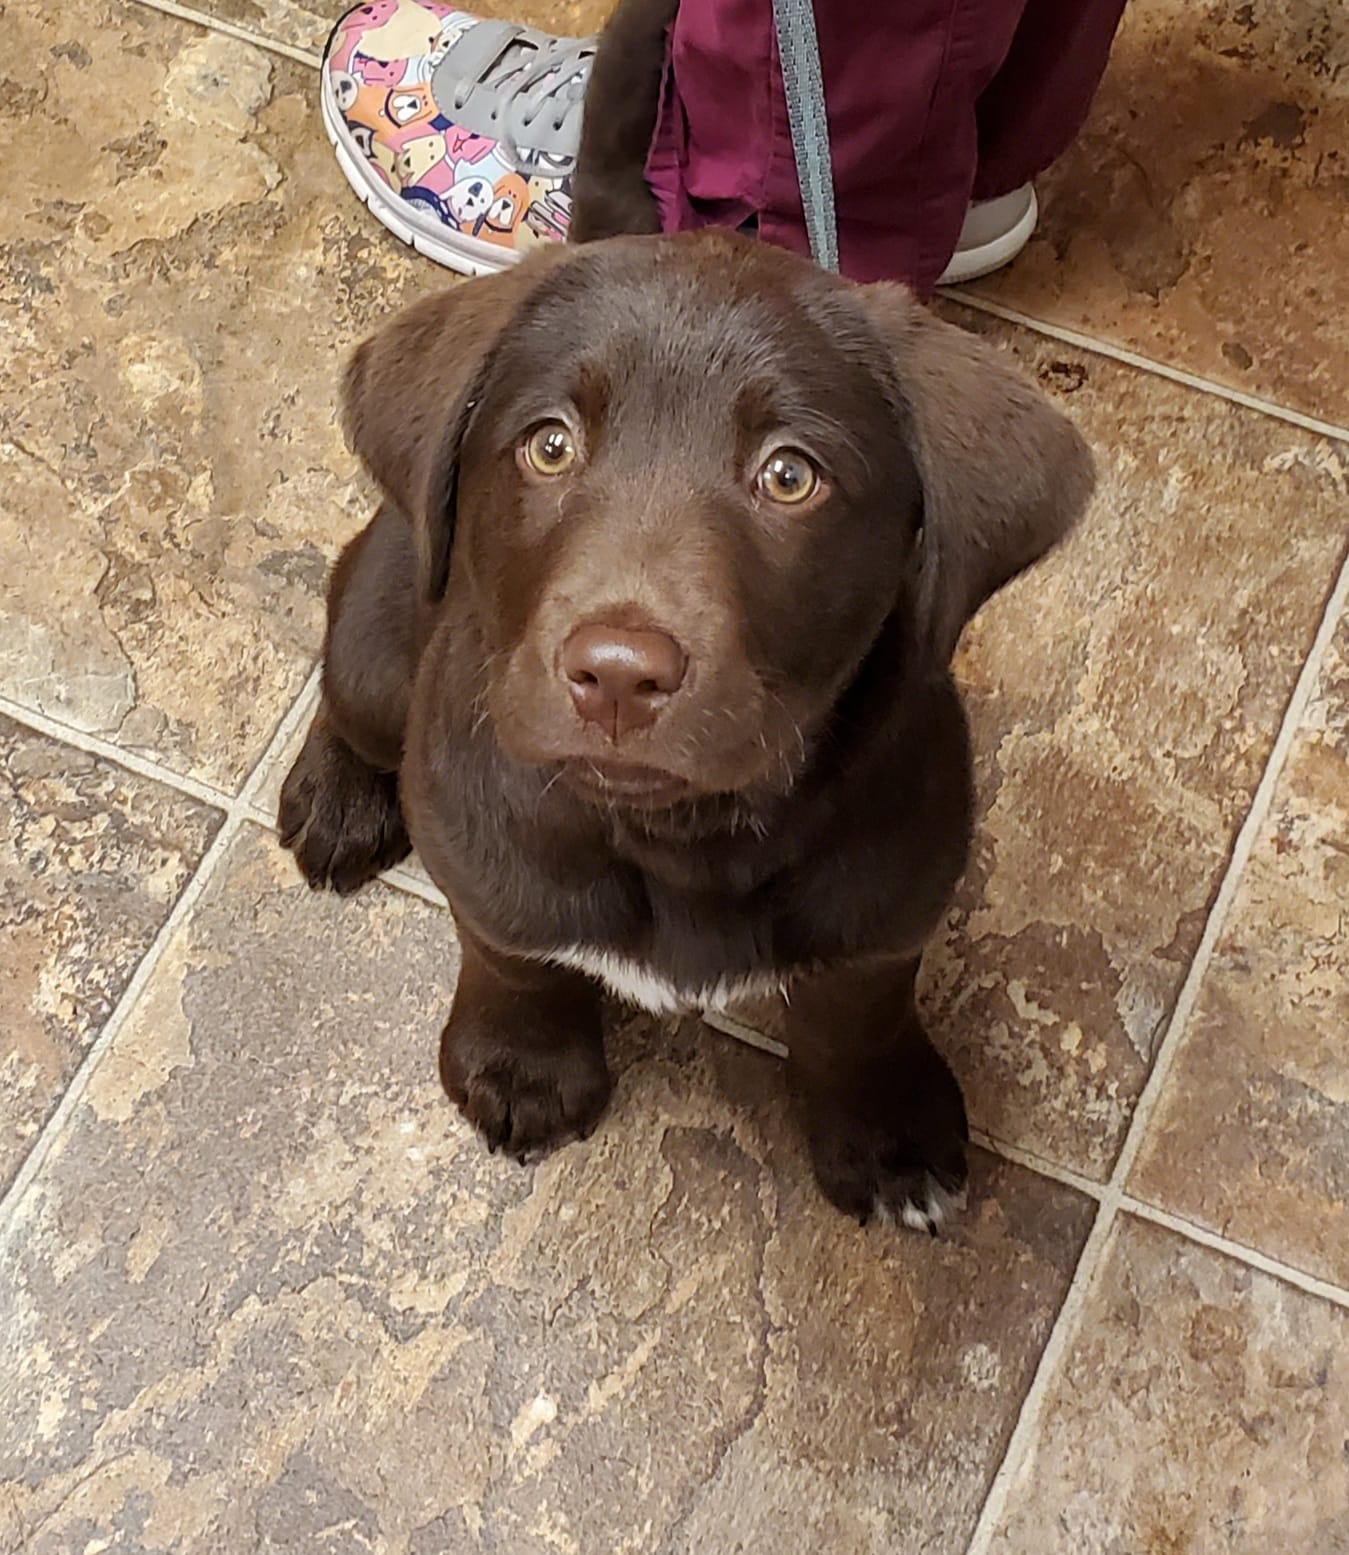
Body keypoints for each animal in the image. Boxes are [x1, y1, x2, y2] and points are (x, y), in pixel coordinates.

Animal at [279, 232, 1093, 1228]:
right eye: (549, 445)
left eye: (789, 474)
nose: (619, 674)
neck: (678, 837)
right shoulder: (478, 844)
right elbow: (512, 953)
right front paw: (521, 1068)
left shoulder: (889, 898)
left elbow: (857, 1013)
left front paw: (886, 1128)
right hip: (378, 632)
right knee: (347, 691)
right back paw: (337, 797)